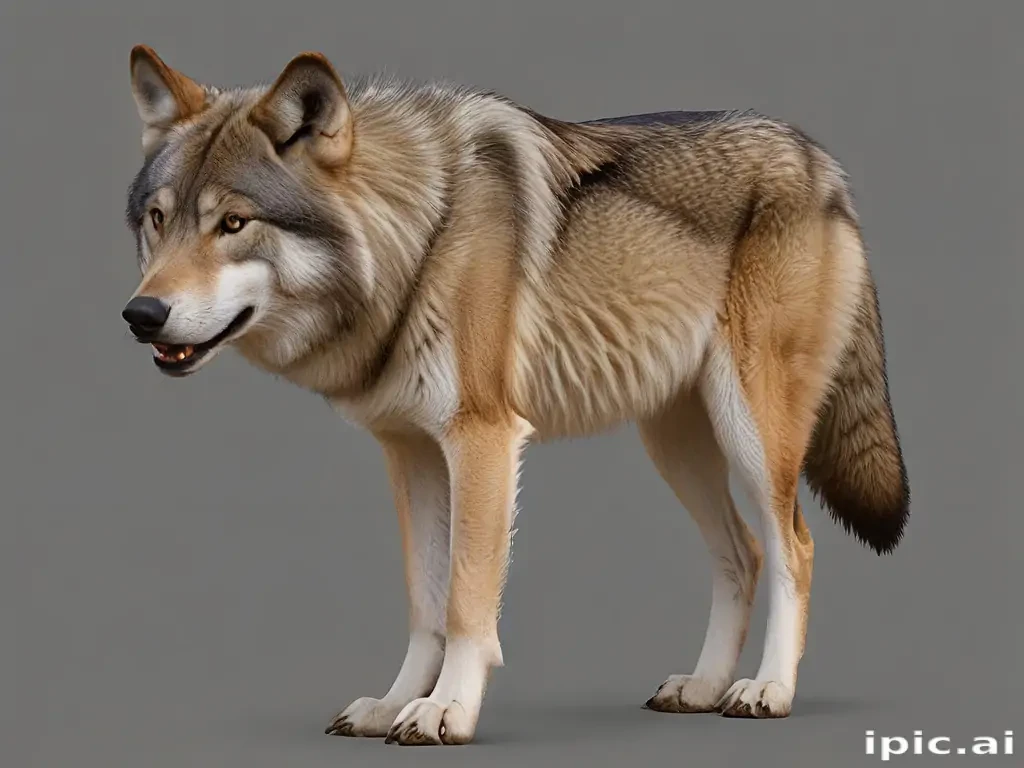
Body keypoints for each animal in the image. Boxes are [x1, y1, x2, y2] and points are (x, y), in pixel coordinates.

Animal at [121, 45, 910, 746]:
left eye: (233, 223)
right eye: (158, 219)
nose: (140, 315)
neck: (420, 238)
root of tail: (820, 160)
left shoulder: (483, 438)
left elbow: (467, 600)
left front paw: (446, 711)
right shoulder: (410, 452)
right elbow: (425, 601)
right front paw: (394, 705)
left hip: (750, 430)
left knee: (793, 546)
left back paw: (768, 690)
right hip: (675, 444)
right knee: (742, 554)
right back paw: (704, 687)